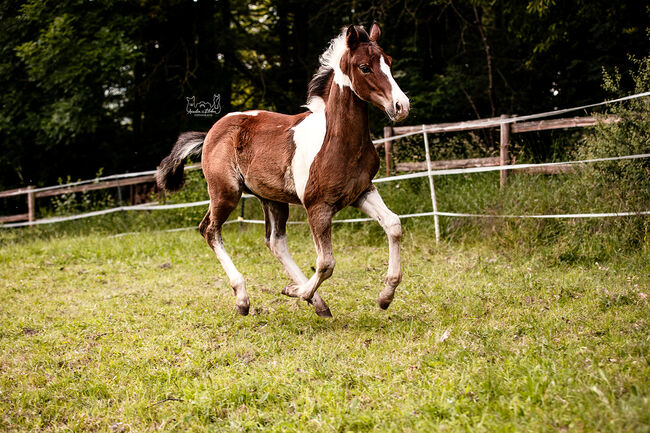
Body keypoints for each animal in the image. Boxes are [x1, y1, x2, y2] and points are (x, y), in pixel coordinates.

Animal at [157, 24, 408, 318]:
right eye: (365, 67)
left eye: (389, 62)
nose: (401, 106)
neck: (337, 140)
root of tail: (211, 131)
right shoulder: (317, 206)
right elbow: (326, 262)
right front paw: (294, 291)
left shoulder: (362, 191)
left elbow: (393, 225)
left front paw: (385, 297)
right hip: (225, 192)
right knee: (209, 230)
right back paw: (244, 299)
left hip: (272, 198)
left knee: (275, 241)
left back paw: (318, 303)